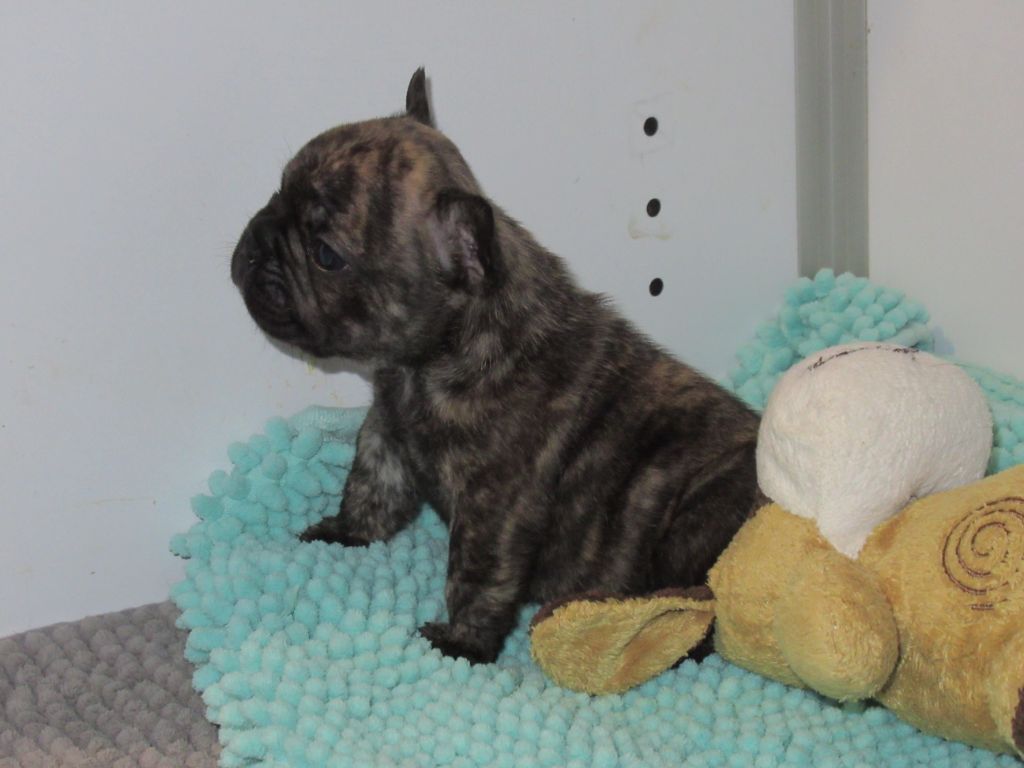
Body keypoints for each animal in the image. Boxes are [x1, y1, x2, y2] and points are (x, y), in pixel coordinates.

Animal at [230, 69, 763, 663]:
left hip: (699, 516)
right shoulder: (385, 433)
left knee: (704, 605)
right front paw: (342, 534)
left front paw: (463, 642)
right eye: (277, 192)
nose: (257, 242)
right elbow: (370, 488)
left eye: (326, 255)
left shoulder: (494, 503)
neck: (430, 359)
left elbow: (475, 573)